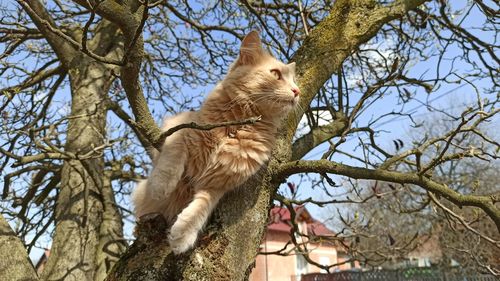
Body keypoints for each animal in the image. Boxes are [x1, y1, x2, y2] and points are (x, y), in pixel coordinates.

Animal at [131, 31, 298, 254]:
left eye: (294, 82)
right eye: (276, 74)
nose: (297, 91)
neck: (235, 127)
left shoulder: (218, 185)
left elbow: (200, 208)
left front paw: (182, 235)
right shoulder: (181, 127)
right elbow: (171, 159)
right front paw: (160, 186)